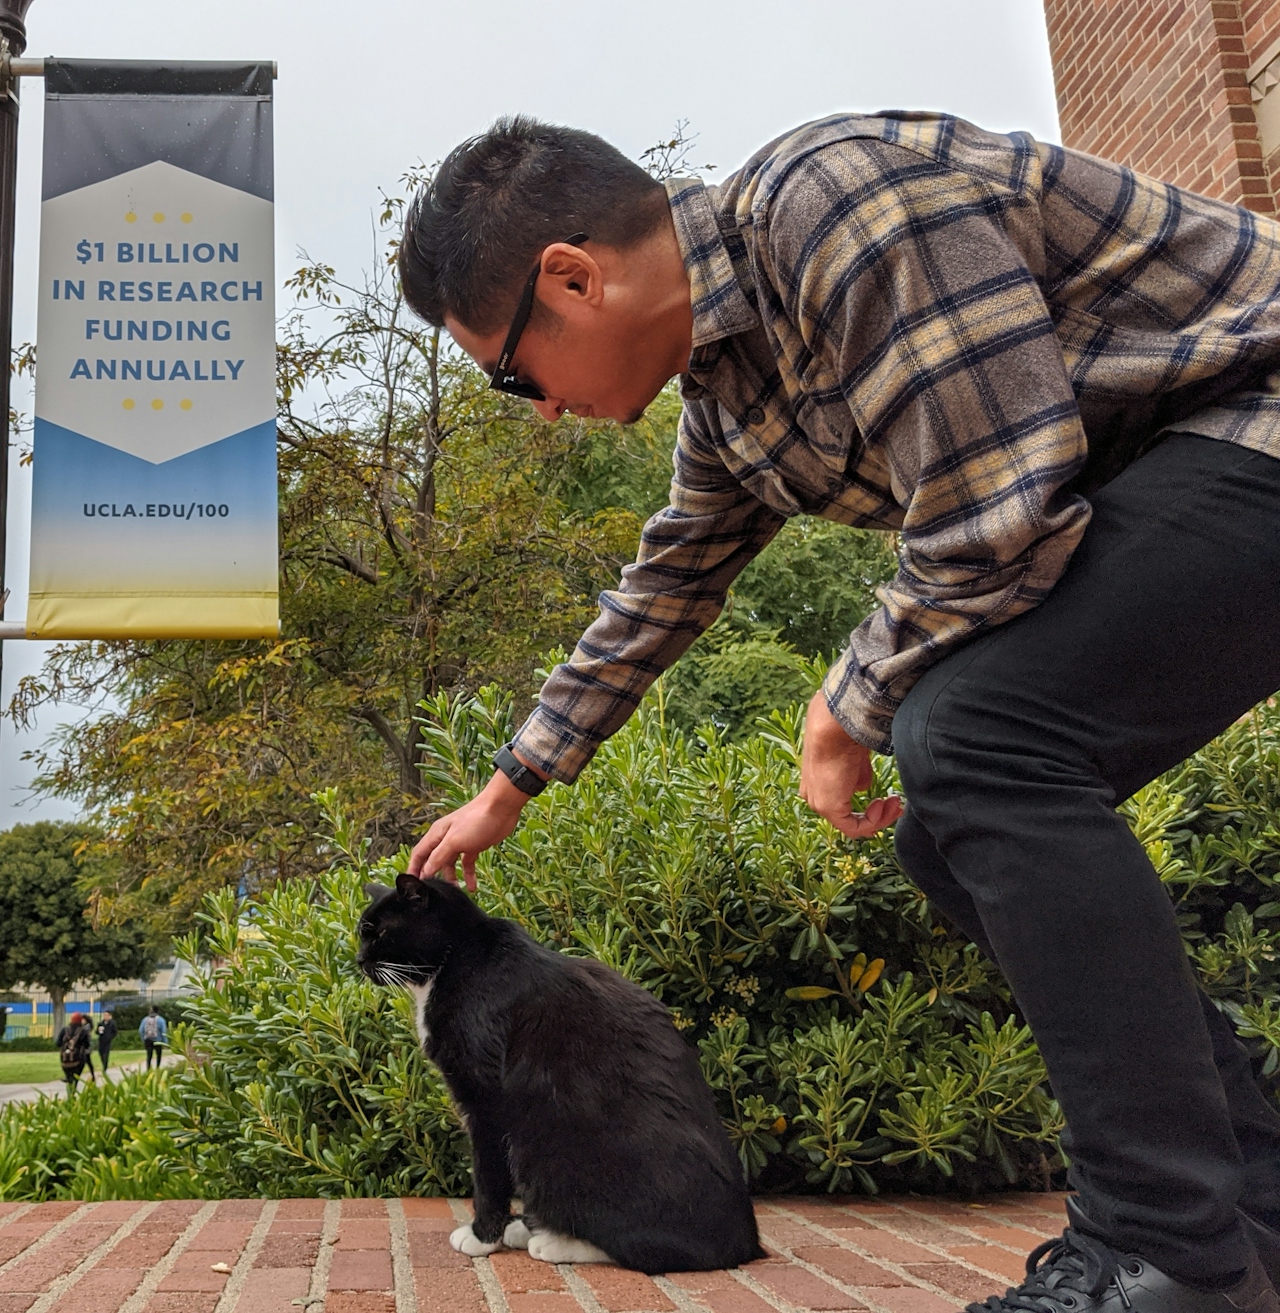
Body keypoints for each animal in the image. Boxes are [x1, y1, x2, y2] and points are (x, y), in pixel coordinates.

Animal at [354, 871, 766, 1270]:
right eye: (363, 932)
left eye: (379, 933)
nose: (358, 961)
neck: (457, 957)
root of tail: (747, 1243)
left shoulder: (486, 1102)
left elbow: (488, 1177)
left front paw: (483, 1237)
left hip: (547, 1150)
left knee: (649, 1252)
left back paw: (553, 1242)